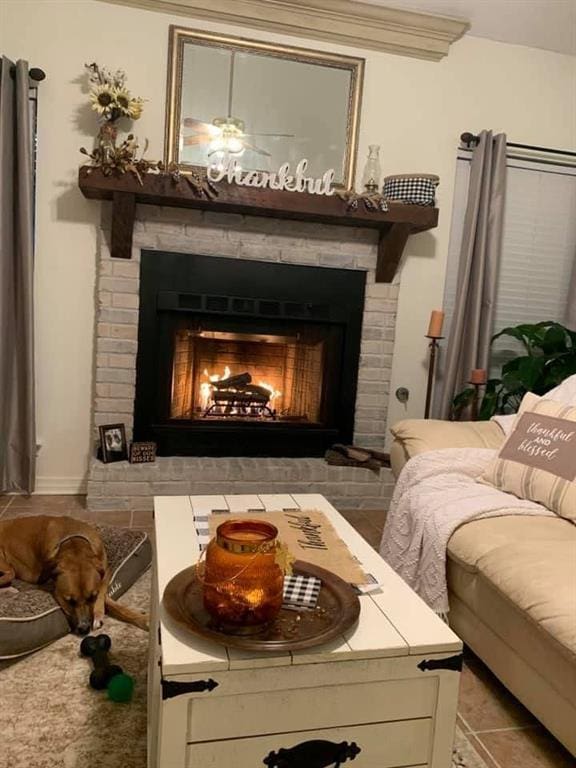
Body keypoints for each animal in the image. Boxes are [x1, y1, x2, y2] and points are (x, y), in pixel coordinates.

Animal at [0, 512, 148, 632]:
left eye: (92, 598)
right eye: (69, 601)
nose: (84, 629)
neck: (73, 543)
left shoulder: (105, 569)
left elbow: (106, 596)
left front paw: (141, 618)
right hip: (6, 565)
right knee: (10, 574)